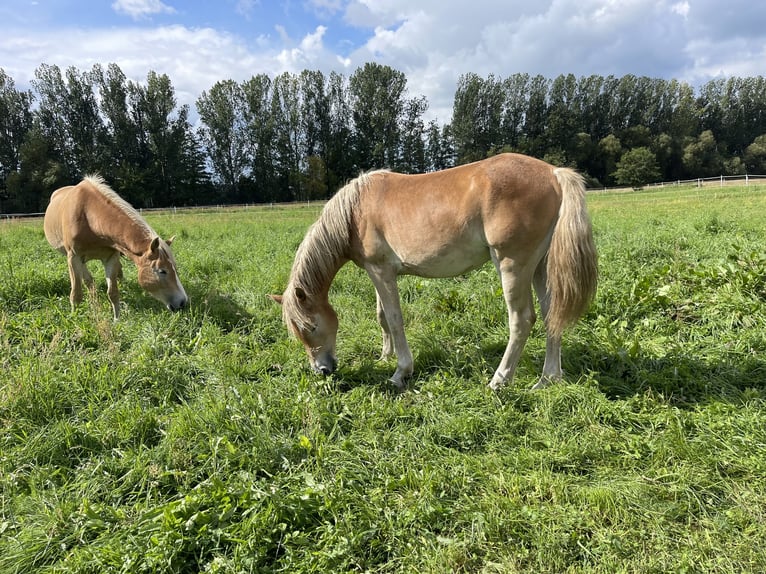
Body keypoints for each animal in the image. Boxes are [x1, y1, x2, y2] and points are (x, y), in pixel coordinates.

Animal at [44, 173, 189, 322]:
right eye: (162, 271)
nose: (183, 302)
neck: (89, 217)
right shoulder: (73, 257)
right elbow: (76, 294)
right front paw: (74, 318)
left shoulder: (111, 258)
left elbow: (113, 292)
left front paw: (116, 320)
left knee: (90, 280)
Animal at [272, 153, 604, 392]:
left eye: (310, 326)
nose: (322, 370)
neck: (355, 211)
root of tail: (554, 174)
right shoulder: (377, 272)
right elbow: (382, 316)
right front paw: (385, 356)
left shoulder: (381, 271)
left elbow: (394, 319)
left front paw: (400, 372)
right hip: (540, 268)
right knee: (552, 316)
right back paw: (548, 379)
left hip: (513, 266)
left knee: (521, 320)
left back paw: (499, 380)